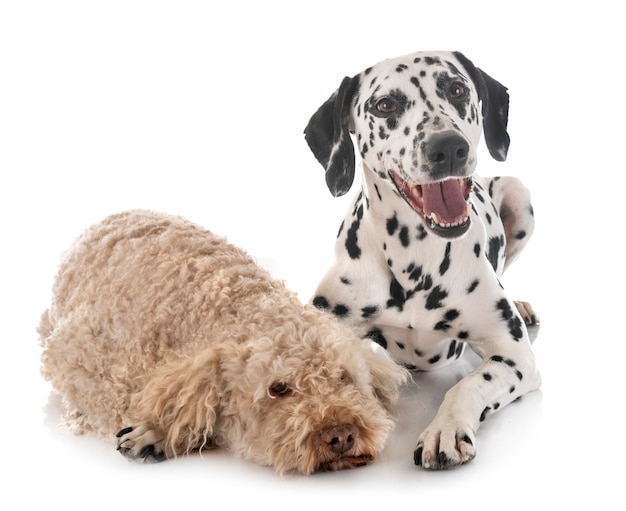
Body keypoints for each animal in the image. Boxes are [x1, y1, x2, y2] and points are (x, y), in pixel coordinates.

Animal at [36, 210, 408, 474]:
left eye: (344, 377)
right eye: (278, 389)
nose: (341, 434)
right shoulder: (72, 348)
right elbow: (107, 395)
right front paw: (155, 428)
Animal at [304, 50, 540, 470]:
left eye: (457, 89)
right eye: (385, 105)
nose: (448, 147)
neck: (415, 257)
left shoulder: (515, 357)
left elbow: (469, 384)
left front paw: (445, 429)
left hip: (517, 192)